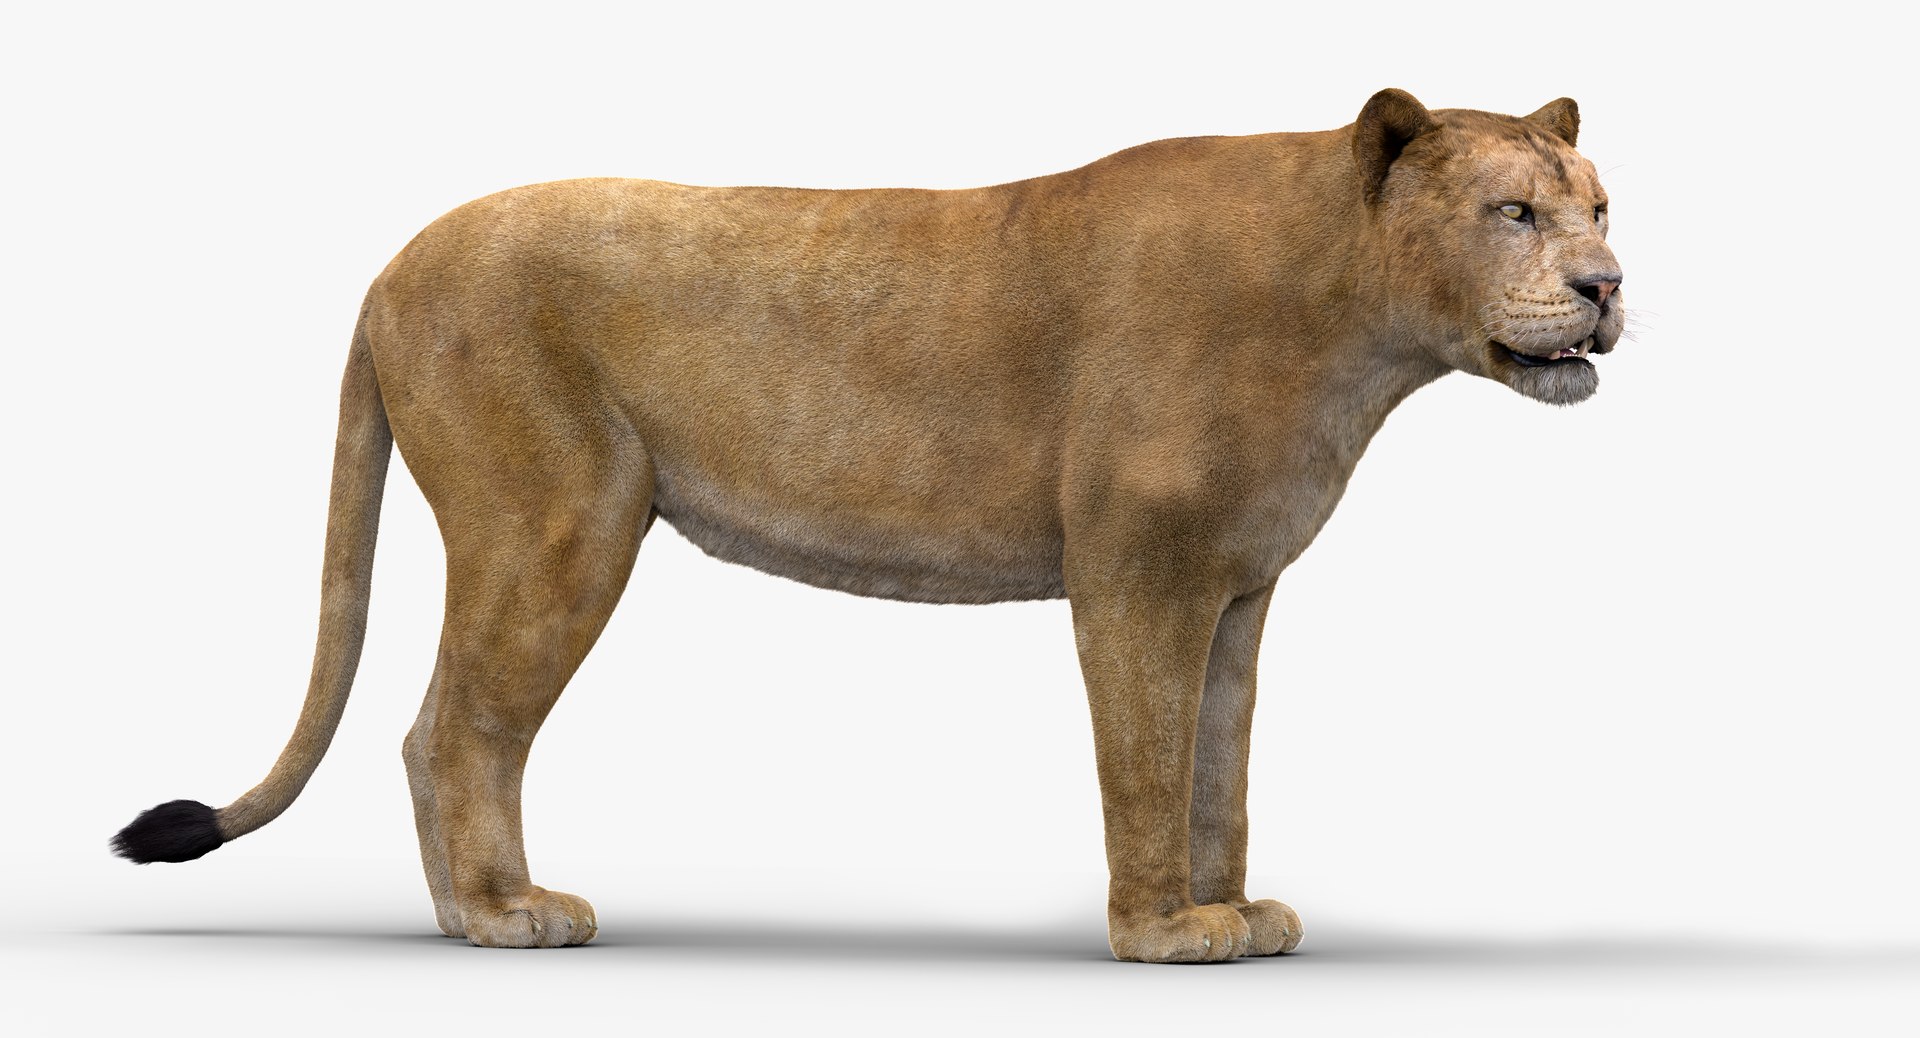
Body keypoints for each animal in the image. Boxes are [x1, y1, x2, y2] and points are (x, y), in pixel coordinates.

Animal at [113, 88, 1624, 963]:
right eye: (1513, 212)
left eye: (1604, 207)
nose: (1606, 287)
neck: (1355, 322)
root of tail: (387, 266)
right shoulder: (1135, 572)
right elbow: (1143, 761)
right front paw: (1159, 933)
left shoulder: (1236, 587)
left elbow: (1217, 766)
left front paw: (1234, 911)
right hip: (558, 521)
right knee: (450, 727)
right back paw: (503, 915)